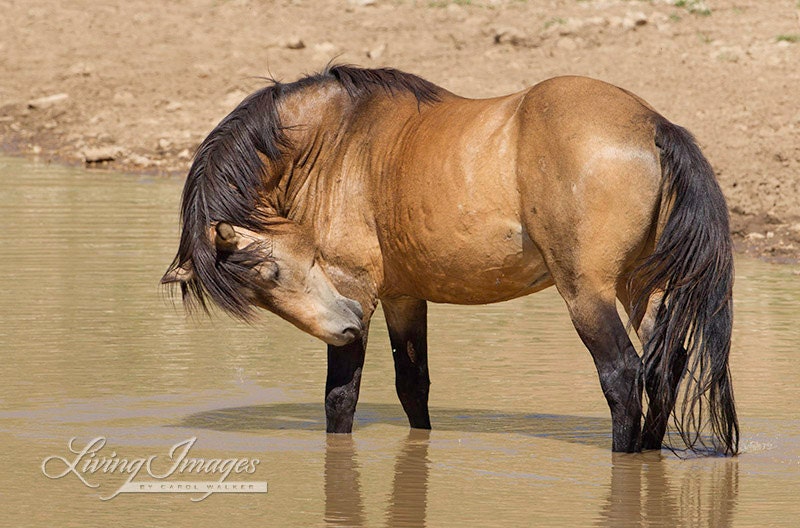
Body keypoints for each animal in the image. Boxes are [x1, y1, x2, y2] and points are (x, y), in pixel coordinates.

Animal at [162, 65, 738, 455]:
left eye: (272, 269)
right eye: (259, 290)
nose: (347, 323)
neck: (337, 139)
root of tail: (652, 125)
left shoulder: (358, 287)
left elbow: (340, 397)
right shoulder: (402, 297)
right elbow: (413, 386)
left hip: (587, 293)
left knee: (622, 375)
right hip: (642, 289)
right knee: (665, 367)